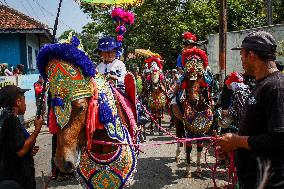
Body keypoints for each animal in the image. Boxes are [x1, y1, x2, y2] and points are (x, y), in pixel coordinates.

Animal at [171, 48, 213, 178]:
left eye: (200, 76)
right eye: (186, 77)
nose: (193, 100)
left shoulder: (202, 128)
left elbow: (199, 147)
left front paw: (198, 169)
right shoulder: (188, 125)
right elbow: (189, 147)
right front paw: (188, 171)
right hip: (178, 121)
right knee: (180, 137)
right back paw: (178, 155)